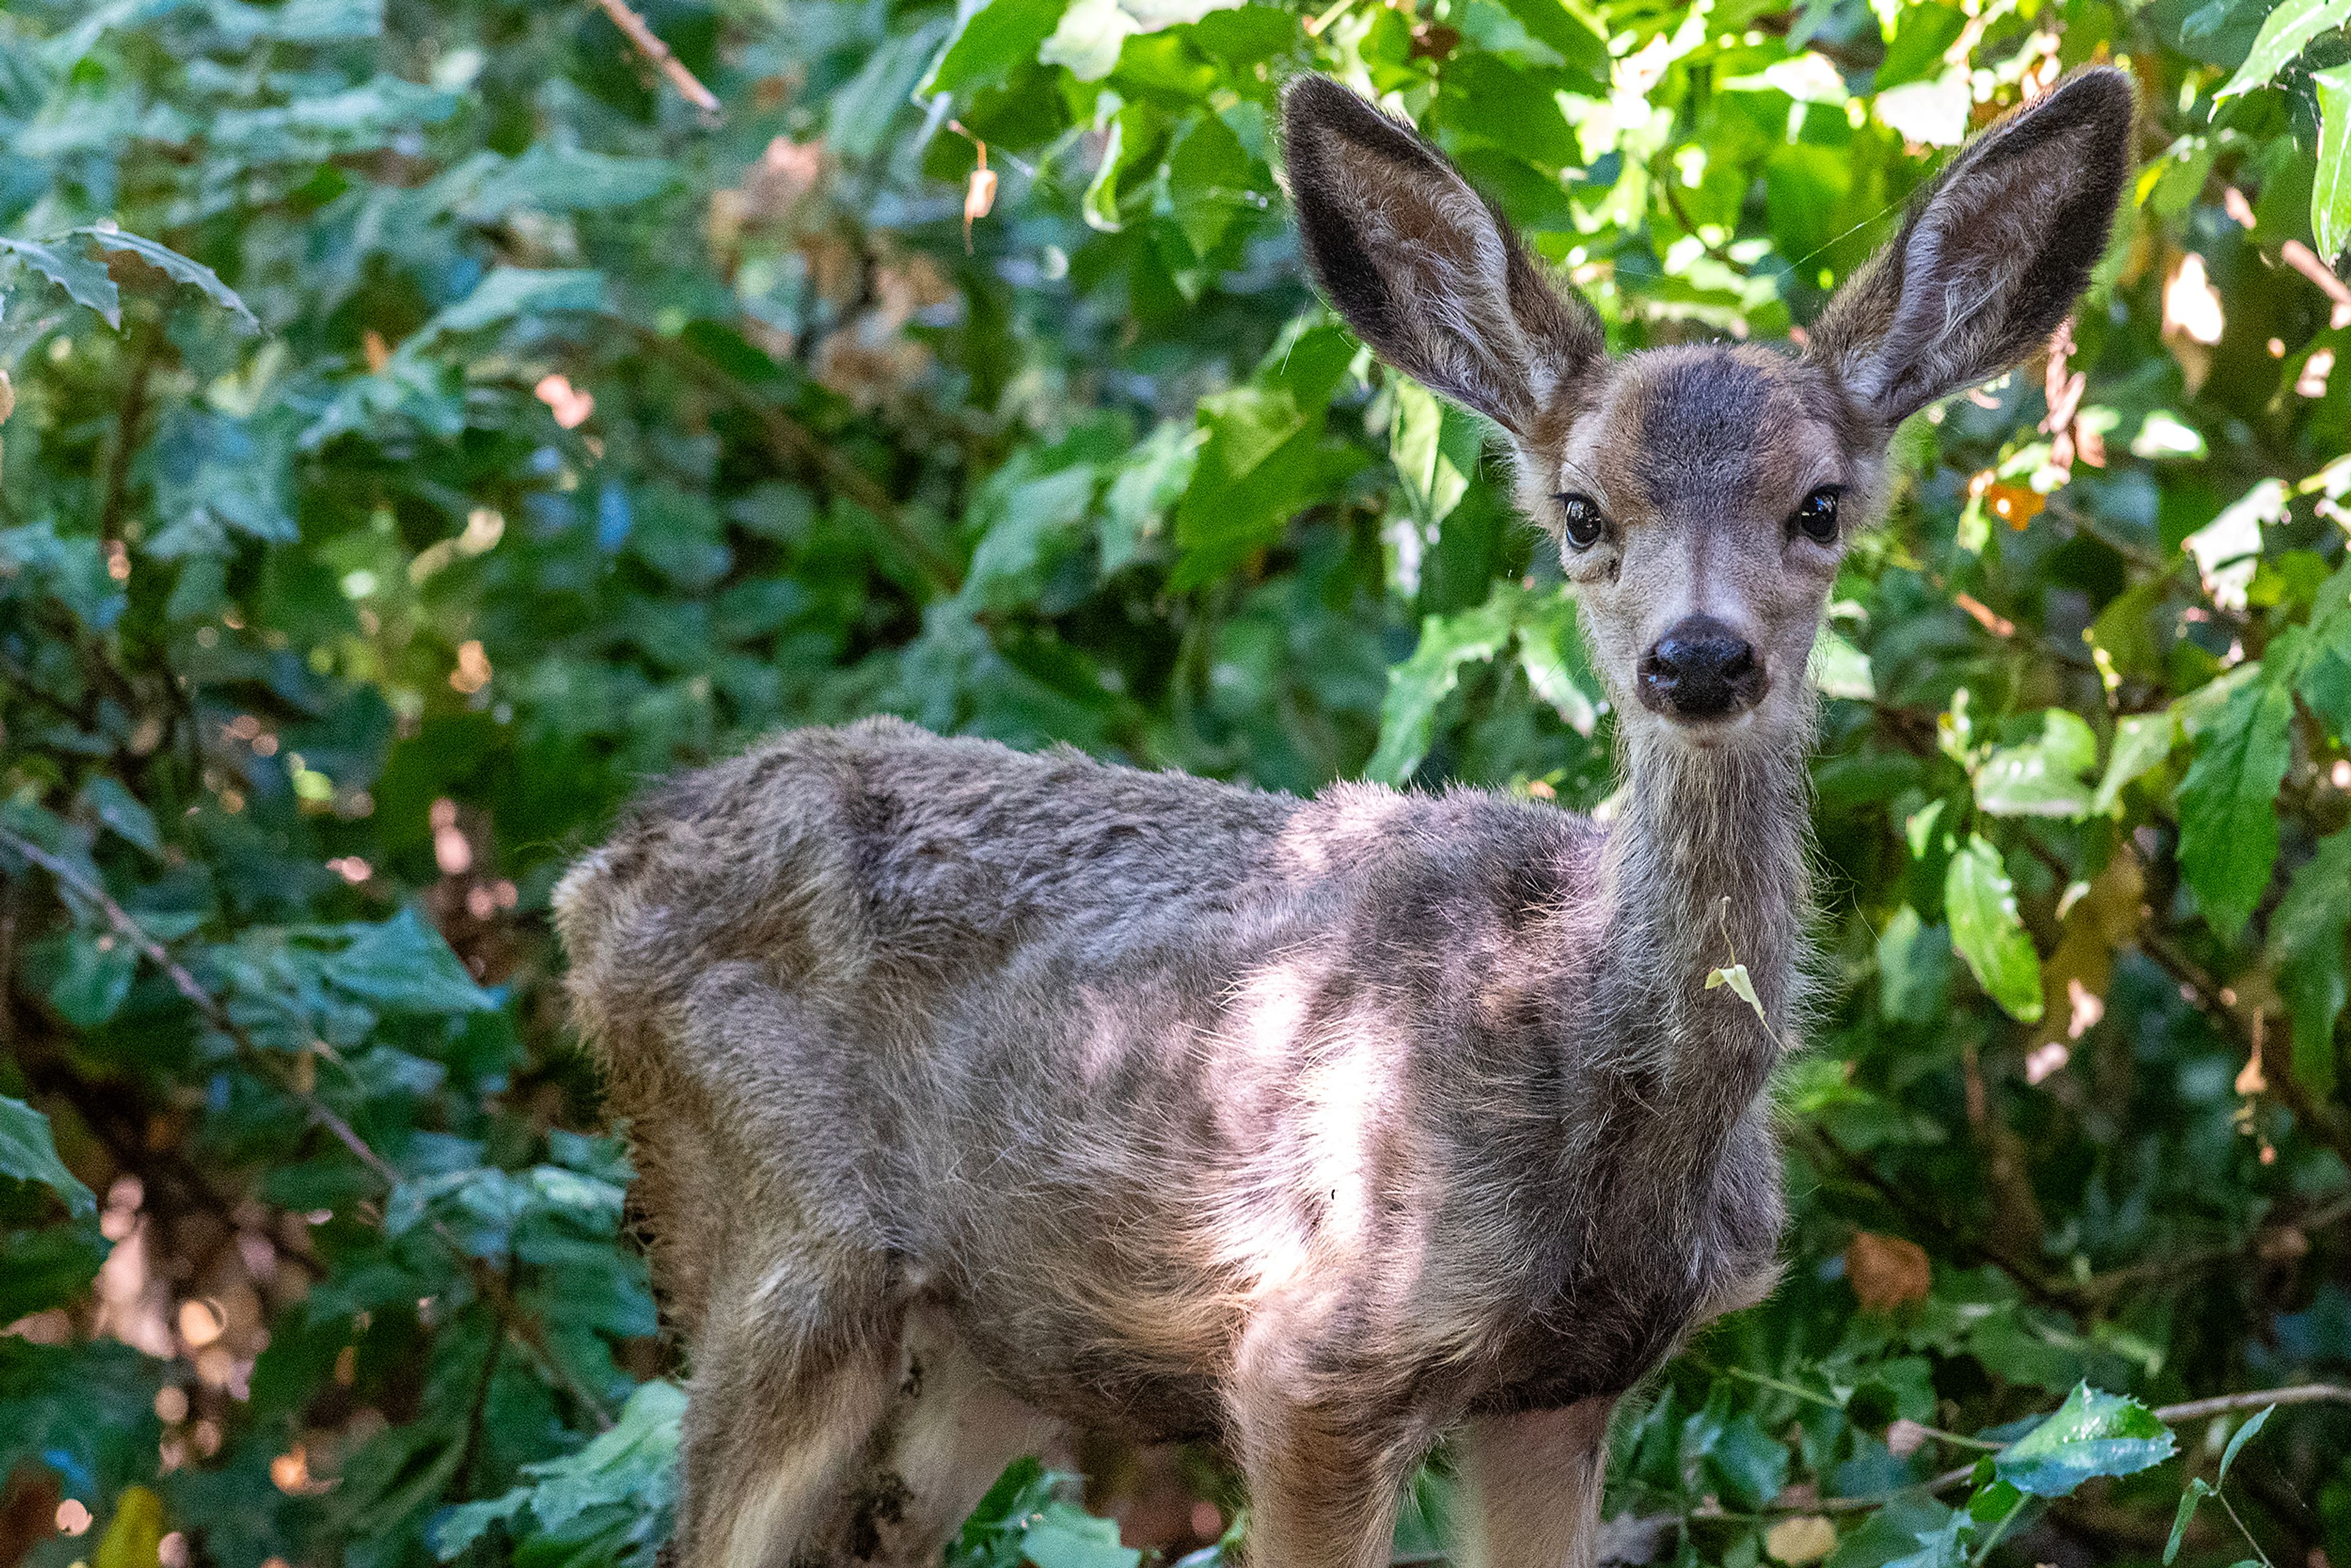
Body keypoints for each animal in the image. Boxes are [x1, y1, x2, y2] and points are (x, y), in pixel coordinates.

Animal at [559, 67, 2144, 1568]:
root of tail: (595, 881)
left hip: (984, 1346)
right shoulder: (1316, 1356)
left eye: (1818, 504)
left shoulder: (1564, 1387)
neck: (1595, 1065)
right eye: (1582, 513)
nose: (1698, 658)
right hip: (782, 1231)